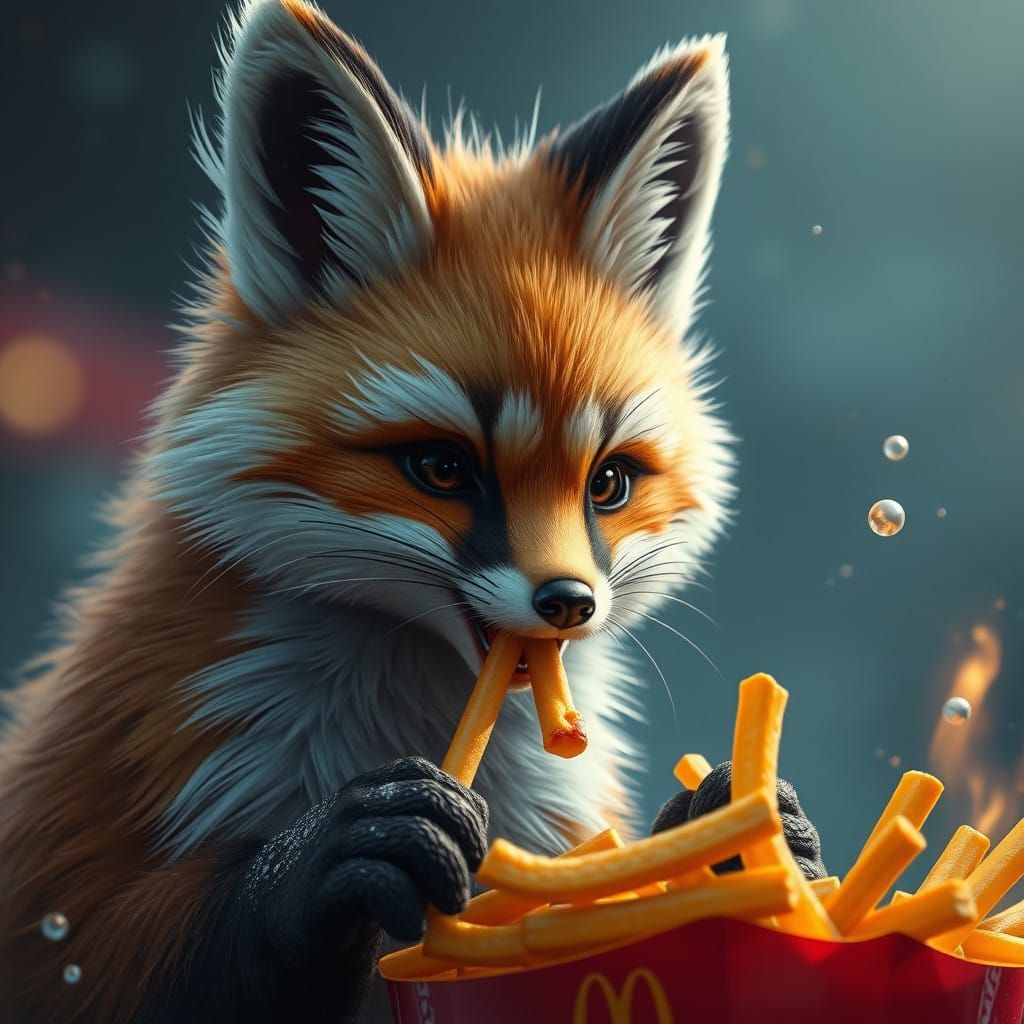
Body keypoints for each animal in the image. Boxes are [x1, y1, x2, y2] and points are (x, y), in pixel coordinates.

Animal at [0, 1, 828, 1022]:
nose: (569, 604)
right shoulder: (67, 893)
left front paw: (739, 847)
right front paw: (326, 864)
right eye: (441, 468)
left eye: (607, 484)